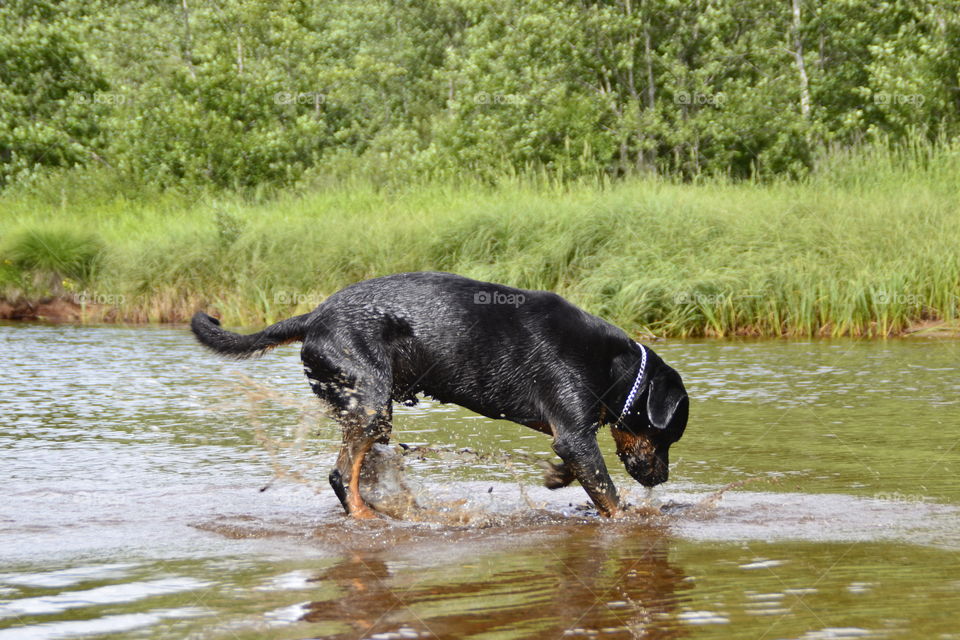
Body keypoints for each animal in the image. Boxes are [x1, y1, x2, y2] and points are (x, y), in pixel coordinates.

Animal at [193, 272, 688, 516]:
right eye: (668, 436)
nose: (662, 478)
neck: (617, 369)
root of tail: (312, 317)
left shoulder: (571, 437)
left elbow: (579, 472)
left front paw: (554, 477)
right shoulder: (575, 433)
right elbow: (608, 494)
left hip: (372, 412)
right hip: (371, 405)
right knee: (340, 475)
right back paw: (368, 516)